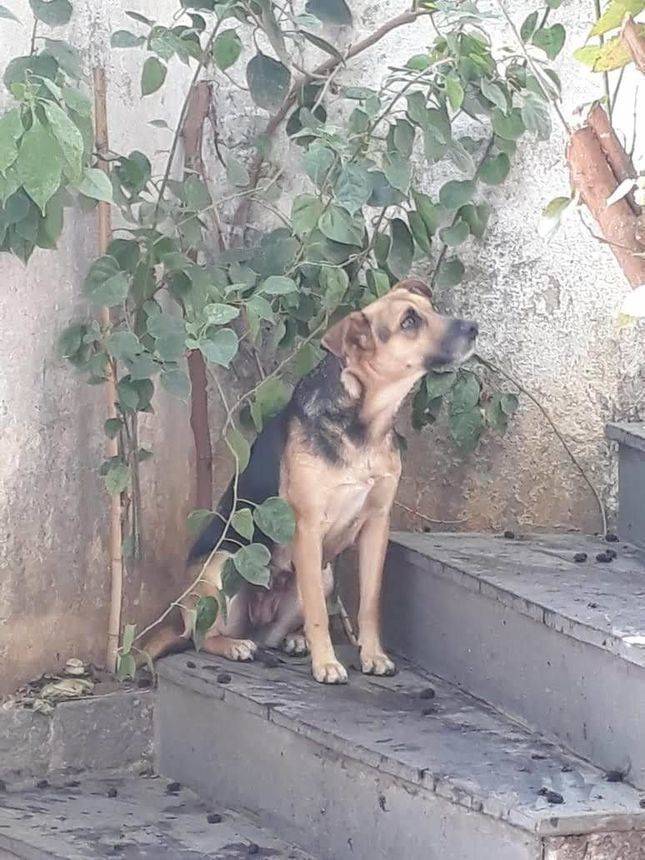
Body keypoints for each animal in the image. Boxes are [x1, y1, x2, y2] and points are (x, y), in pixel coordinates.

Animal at [146, 278, 477, 684]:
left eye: (432, 309)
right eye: (409, 321)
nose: (474, 328)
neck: (363, 425)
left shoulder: (377, 524)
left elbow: (370, 602)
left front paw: (373, 655)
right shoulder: (307, 527)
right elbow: (320, 611)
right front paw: (327, 664)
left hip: (324, 574)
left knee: (272, 635)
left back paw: (293, 640)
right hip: (224, 565)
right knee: (202, 636)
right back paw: (235, 646)